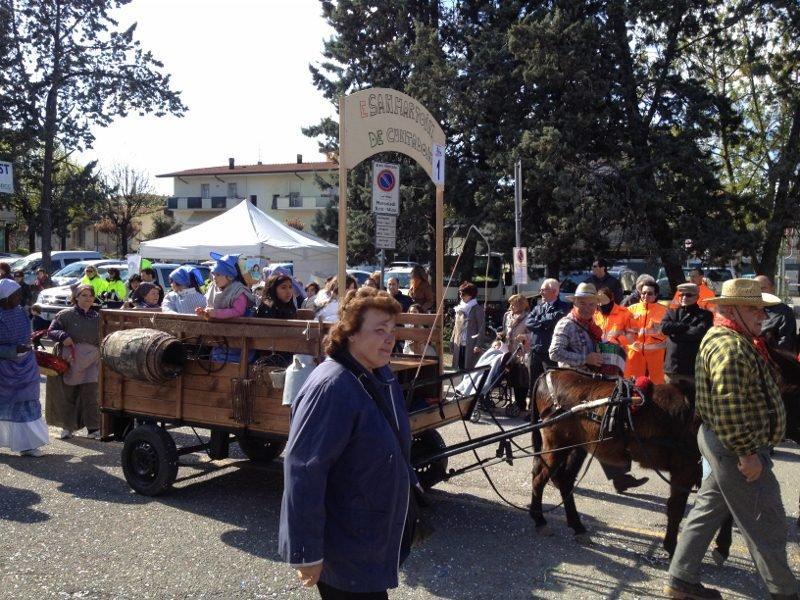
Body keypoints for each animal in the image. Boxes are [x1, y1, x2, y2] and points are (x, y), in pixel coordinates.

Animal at [528, 369, 700, 556]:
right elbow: (677, 509)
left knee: (564, 481)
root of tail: (550, 373)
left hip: (576, 447)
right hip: (557, 445)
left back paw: (577, 527)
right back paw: (540, 520)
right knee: (539, 478)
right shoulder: (685, 469)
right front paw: (673, 548)